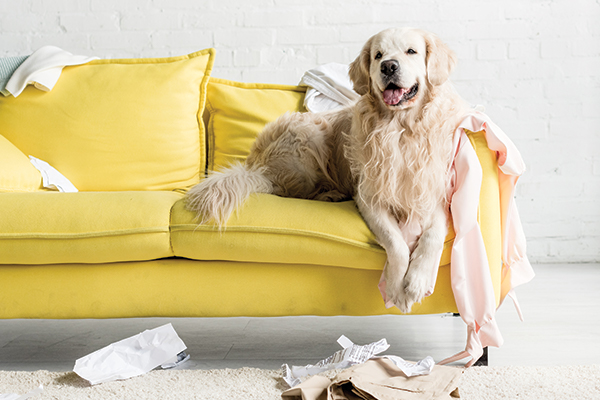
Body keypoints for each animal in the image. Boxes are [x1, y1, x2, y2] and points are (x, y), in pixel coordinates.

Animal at [185, 28, 472, 312]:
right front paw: (395, 288)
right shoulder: (369, 198)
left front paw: (416, 281)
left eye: (411, 51)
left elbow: (433, 236)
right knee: (284, 190)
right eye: (378, 55)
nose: (388, 66)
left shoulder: (432, 193)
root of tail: (254, 164)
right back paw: (330, 194)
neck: (401, 129)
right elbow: (396, 243)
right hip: (308, 135)